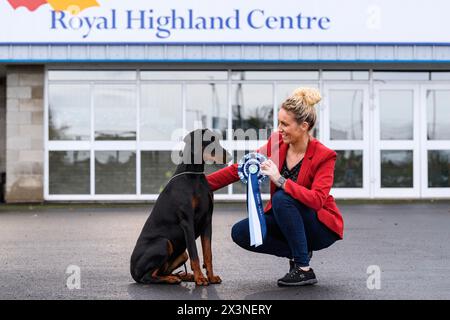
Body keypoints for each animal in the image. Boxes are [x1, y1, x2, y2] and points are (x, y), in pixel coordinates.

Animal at [128, 129, 230, 286]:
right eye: (210, 141)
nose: (229, 156)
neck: (195, 176)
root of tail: (132, 271)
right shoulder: (187, 222)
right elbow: (195, 253)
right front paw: (200, 278)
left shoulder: (207, 221)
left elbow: (208, 254)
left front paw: (211, 277)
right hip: (164, 243)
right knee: (147, 277)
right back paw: (172, 279)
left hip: (182, 254)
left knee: (162, 271)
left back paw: (184, 276)